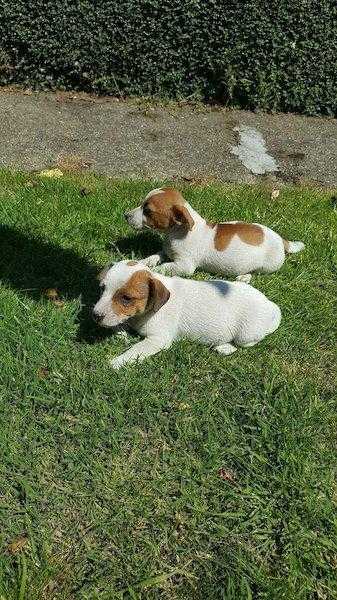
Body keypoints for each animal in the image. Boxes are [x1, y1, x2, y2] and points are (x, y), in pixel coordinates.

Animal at [92, 260, 280, 368]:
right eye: (102, 288)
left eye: (126, 298)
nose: (95, 315)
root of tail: (270, 306)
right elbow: (117, 325)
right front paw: (122, 334)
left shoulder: (158, 340)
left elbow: (136, 349)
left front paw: (117, 362)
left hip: (246, 335)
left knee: (249, 342)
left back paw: (225, 346)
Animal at [124, 186, 304, 282]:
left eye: (147, 211)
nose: (125, 215)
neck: (177, 232)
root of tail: (282, 240)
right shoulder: (166, 251)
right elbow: (156, 255)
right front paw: (145, 261)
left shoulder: (184, 265)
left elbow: (163, 267)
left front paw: (150, 270)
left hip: (267, 266)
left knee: (256, 272)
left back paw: (244, 277)